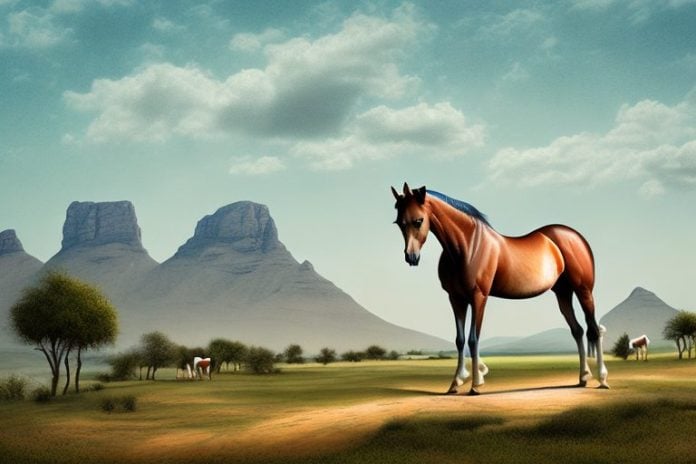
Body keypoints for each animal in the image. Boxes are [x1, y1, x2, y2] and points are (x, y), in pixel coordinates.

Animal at [391, 183, 609, 394]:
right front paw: (455, 383)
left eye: (419, 221)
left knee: (594, 329)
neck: (468, 246)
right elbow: (460, 340)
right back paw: (583, 378)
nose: (411, 257)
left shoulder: (479, 296)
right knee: (578, 330)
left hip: (584, 290)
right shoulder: (456, 298)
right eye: (399, 222)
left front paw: (476, 384)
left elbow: (473, 339)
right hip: (563, 293)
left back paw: (602, 380)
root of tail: (576, 236)